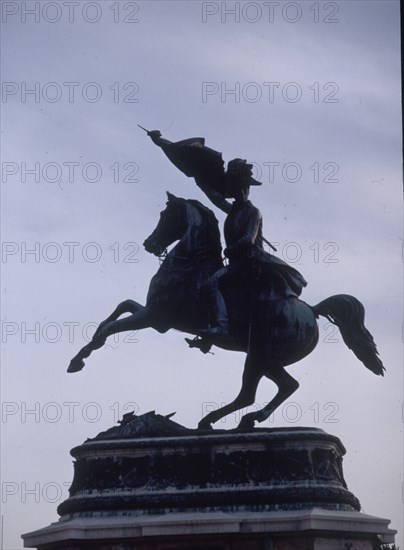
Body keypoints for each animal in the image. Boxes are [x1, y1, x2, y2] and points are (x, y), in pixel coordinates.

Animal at [68, 194, 384, 432]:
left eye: (165, 214)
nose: (150, 244)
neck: (188, 263)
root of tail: (313, 312)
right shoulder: (155, 316)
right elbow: (121, 307)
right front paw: (84, 349)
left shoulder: (154, 318)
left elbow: (113, 326)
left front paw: (79, 358)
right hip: (262, 358)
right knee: (274, 388)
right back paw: (227, 421)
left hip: (259, 355)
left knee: (263, 390)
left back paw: (230, 419)